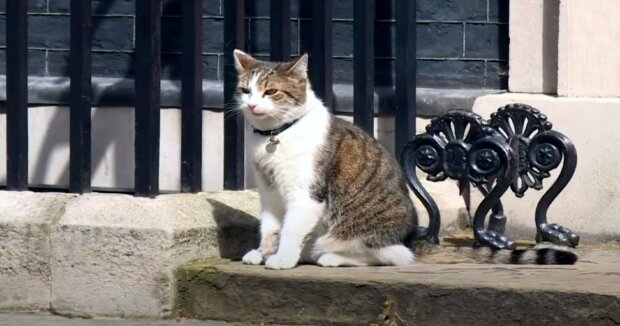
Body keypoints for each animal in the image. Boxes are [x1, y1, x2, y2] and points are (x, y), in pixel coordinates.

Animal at [232, 49, 576, 270]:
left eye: (271, 92)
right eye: (245, 89)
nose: (251, 105)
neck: (275, 136)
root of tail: (411, 239)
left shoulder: (306, 195)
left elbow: (290, 229)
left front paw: (282, 259)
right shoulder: (270, 193)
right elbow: (271, 227)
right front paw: (262, 253)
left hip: (358, 229)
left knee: (392, 255)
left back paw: (329, 256)